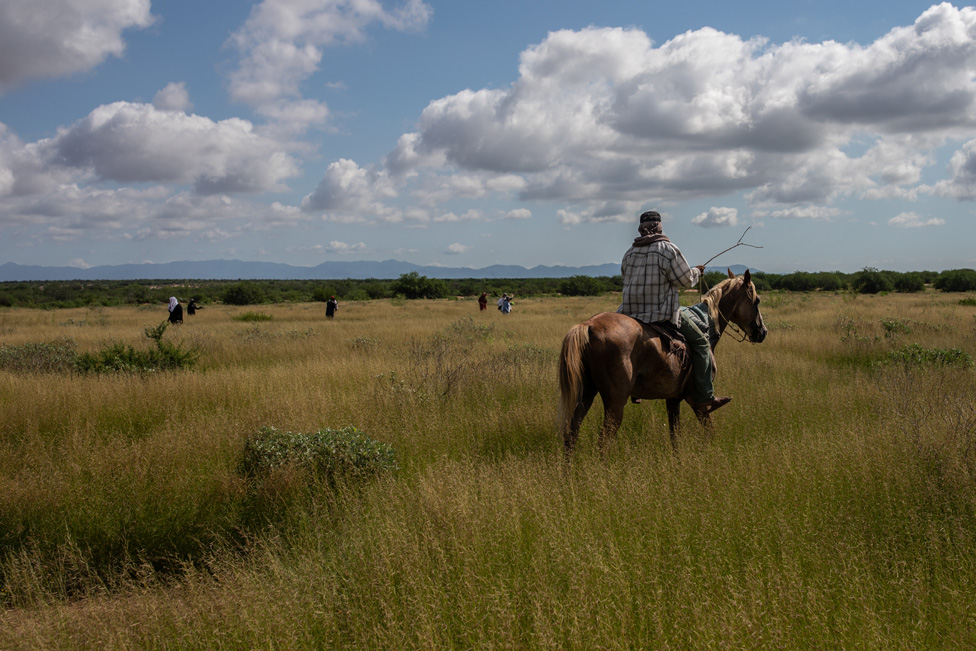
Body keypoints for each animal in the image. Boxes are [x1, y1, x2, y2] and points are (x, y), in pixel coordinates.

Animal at [560, 268, 768, 454]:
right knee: (603, 441)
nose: (762, 332)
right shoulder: (698, 401)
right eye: (757, 300)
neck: (706, 324)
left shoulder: (673, 399)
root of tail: (589, 326)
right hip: (615, 402)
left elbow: (675, 436)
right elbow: (709, 431)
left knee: (571, 434)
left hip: (587, 393)